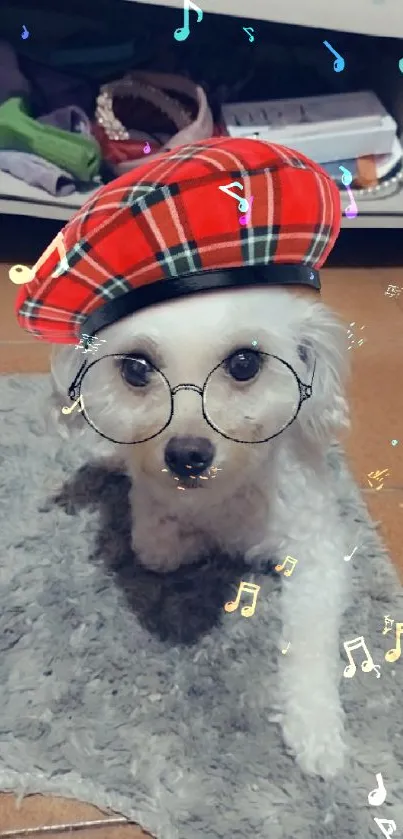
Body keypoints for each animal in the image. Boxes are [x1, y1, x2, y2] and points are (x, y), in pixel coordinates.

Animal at [50, 284, 352, 780]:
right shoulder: (152, 525)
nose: (187, 456)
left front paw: (316, 731)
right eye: (136, 368)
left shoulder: (318, 551)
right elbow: (159, 547)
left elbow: (311, 642)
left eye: (245, 363)